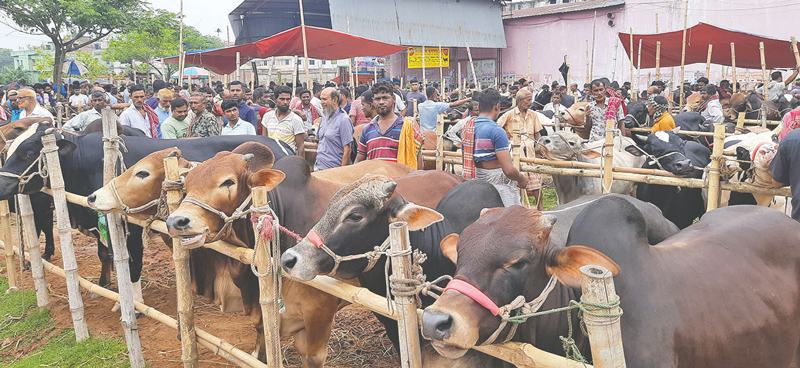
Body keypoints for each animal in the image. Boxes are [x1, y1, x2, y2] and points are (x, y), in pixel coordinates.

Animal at [0, 123, 294, 300]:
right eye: (11, 149)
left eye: (28, 153)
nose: (2, 184)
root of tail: (280, 144)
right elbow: (104, 254)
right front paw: (103, 285)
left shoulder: (129, 225)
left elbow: (132, 265)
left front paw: (133, 302)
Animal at [162, 155, 412, 366]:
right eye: (187, 184)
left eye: (227, 182)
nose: (176, 222)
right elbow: (262, 350)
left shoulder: (318, 313)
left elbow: (311, 357)